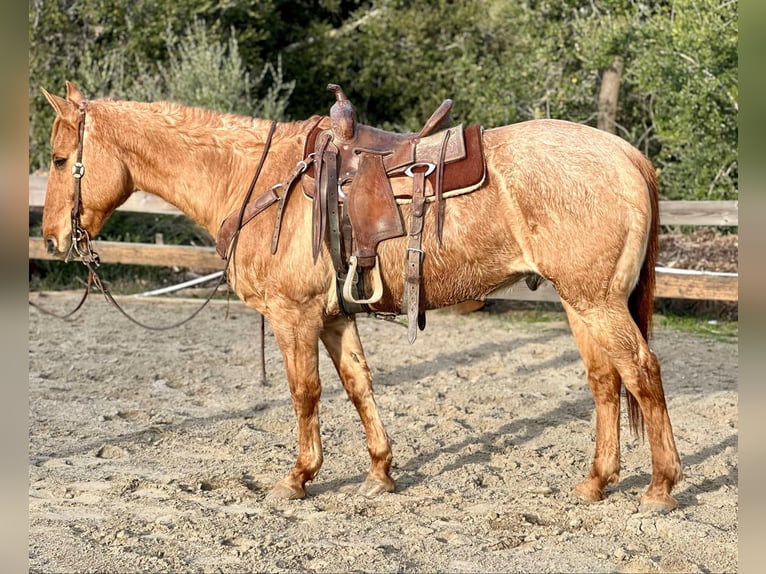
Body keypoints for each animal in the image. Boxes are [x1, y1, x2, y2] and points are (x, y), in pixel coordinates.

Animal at [40, 82, 682, 512]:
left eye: (58, 159)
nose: (51, 238)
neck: (257, 178)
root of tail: (628, 155)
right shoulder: (333, 317)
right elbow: (357, 385)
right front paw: (380, 472)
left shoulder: (294, 316)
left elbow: (305, 393)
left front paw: (298, 477)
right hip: (581, 304)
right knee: (605, 382)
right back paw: (596, 481)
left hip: (597, 303)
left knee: (643, 373)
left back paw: (660, 486)